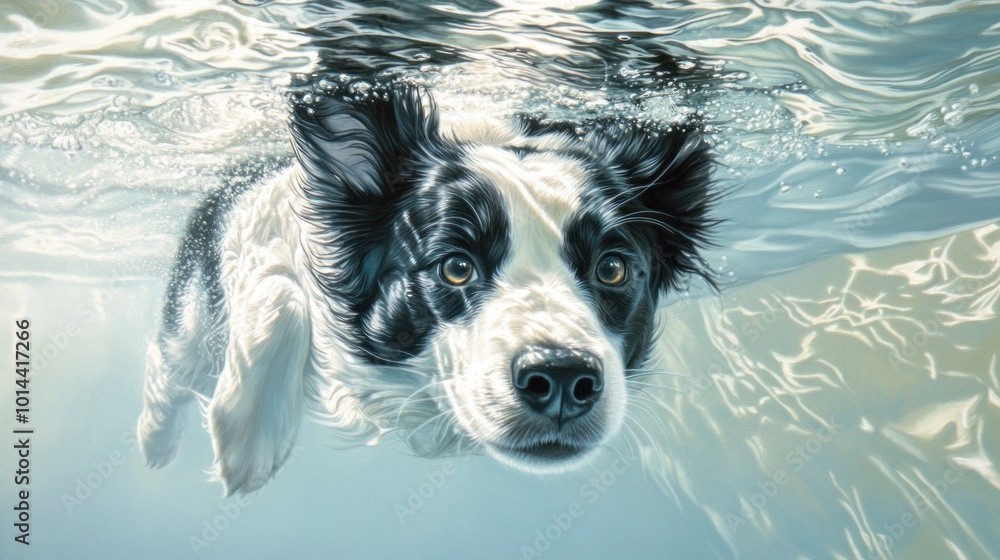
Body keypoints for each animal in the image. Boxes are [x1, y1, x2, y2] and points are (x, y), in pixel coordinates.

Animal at [137, 82, 716, 494]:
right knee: (171, 366)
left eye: (612, 269)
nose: (561, 378)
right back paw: (155, 444)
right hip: (190, 316)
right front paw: (247, 432)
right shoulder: (260, 225)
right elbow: (280, 286)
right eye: (456, 267)